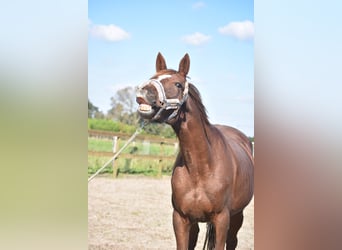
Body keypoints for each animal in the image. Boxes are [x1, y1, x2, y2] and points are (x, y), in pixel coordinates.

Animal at [136, 53, 254, 250]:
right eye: (153, 77)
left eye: (178, 84)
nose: (142, 94)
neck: (201, 167)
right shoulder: (181, 219)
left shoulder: (222, 219)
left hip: (237, 215)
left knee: (232, 241)